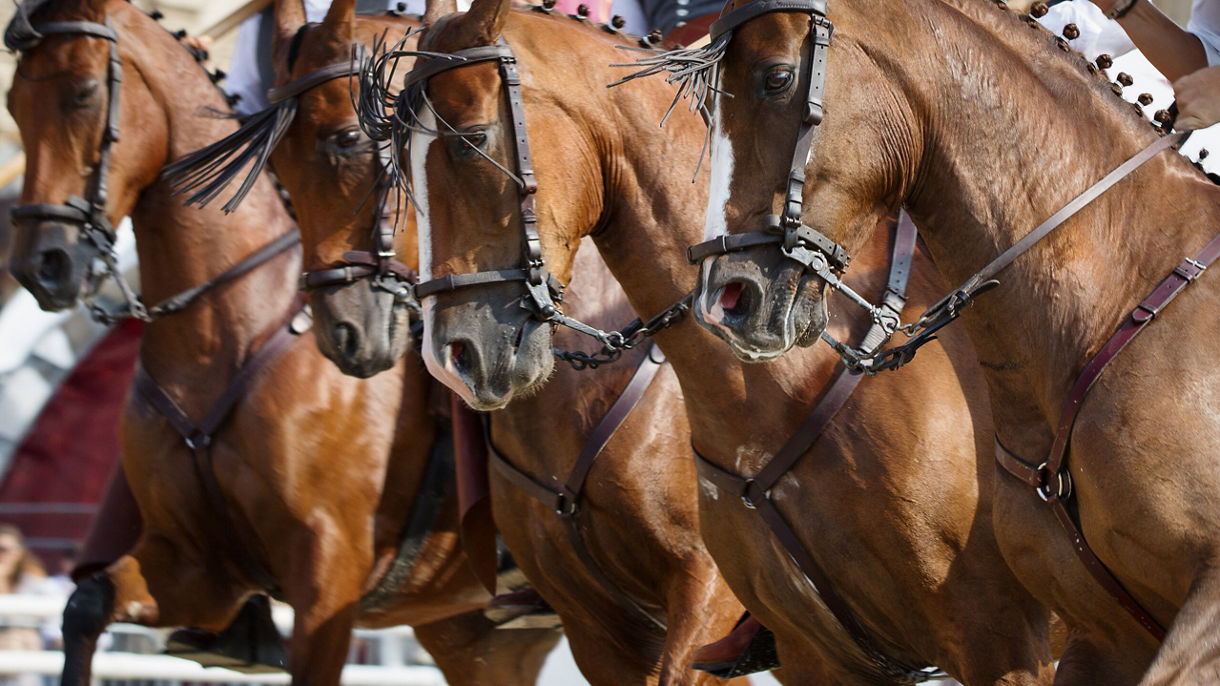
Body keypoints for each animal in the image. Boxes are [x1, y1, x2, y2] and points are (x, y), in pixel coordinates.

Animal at [4, 1, 559, 684]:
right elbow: (84, 607)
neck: (225, 338)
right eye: (13, 104)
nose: (41, 265)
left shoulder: (326, 575)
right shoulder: (196, 567)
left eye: (82, 93)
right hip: (479, 635)